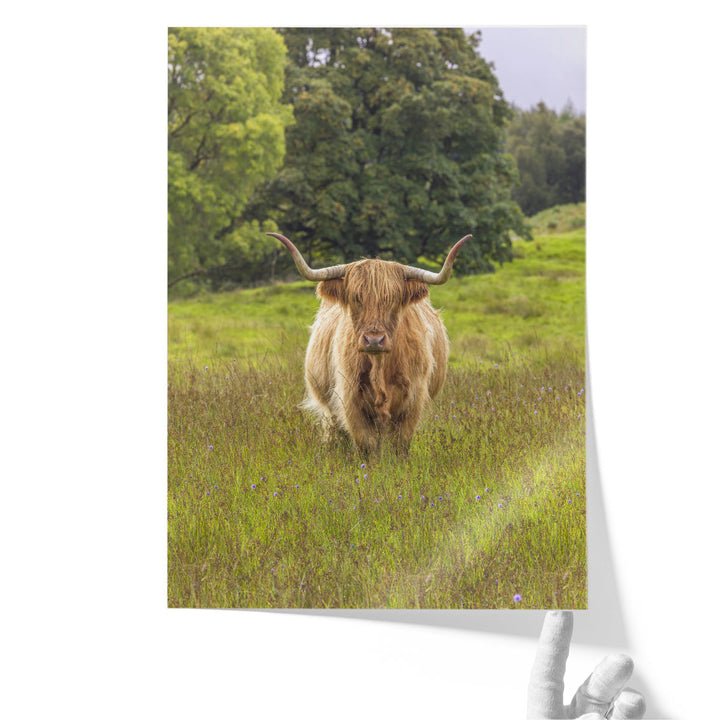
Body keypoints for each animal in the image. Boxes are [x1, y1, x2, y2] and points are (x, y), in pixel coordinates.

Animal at [267, 232, 471, 454]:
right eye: (356, 298)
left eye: (393, 299)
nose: (374, 340)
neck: (380, 368)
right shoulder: (350, 399)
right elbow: (366, 445)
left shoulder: (413, 400)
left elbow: (400, 444)